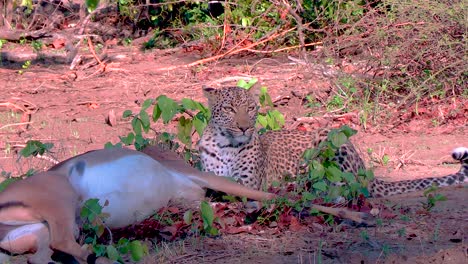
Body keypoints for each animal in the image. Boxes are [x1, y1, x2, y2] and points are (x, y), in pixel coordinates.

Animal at [197, 85, 468, 197]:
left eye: (251, 108)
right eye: (230, 109)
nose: (244, 127)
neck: (226, 145)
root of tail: (365, 169)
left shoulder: (248, 184)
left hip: (328, 137)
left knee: (348, 188)